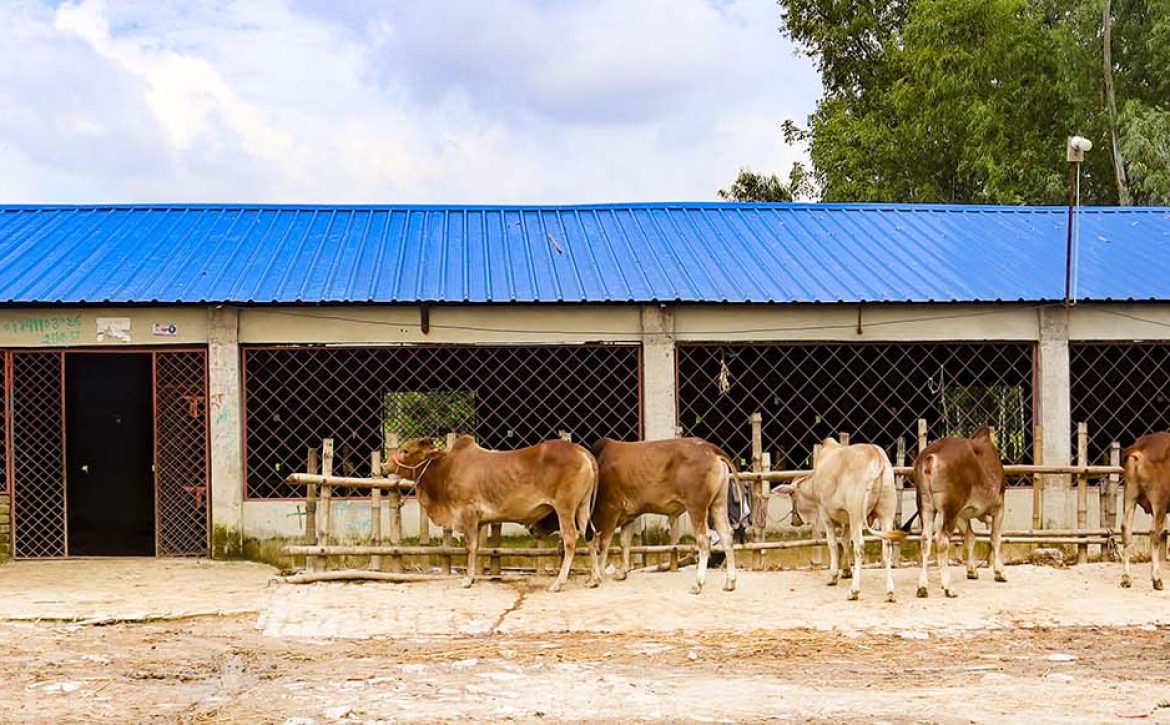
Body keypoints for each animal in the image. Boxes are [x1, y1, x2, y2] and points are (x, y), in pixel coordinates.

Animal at [386, 432, 599, 591]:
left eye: (406, 450)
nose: (385, 465)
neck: (445, 468)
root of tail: (582, 451)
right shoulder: (479, 521)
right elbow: (477, 548)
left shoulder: (468, 514)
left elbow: (470, 547)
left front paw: (467, 580)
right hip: (582, 506)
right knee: (590, 534)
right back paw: (593, 579)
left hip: (565, 508)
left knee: (570, 538)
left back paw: (558, 583)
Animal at [589, 434, 734, 594]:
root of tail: (709, 448)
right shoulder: (628, 515)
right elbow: (624, 542)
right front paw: (622, 572)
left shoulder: (610, 510)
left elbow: (603, 544)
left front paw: (596, 577)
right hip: (718, 504)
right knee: (727, 535)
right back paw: (730, 582)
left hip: (696, 507)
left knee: (704, 540)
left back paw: (698, 584)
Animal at [804, 439, 903, 603]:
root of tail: (875, 453)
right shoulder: (847, 518)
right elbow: (845, 541)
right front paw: (846, 571)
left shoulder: (824, 513)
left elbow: (833, 543)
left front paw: (833, 576)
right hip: (886, 513)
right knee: (887, 547)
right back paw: (890, 592)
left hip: (857, 513)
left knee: (859, 547)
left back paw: (854, 591)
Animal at [912, 427, 1006, 598]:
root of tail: (930, 456)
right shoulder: (999, 506)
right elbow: (995, 538)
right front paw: (1000, 573)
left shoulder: (962, 514)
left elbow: (970, 538)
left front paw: (972, 571)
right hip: (949, 509)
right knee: (941, 540)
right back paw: (949, 587)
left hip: (926, 506)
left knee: (925, 540)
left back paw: (922, 587)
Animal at [1113, 430, 1170, 589]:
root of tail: (1141, 446)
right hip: (1159, 501)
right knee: (1154, 534)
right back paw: (1156, 579)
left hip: (1129, 495)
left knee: (1126, 528)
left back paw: (1126, 578)